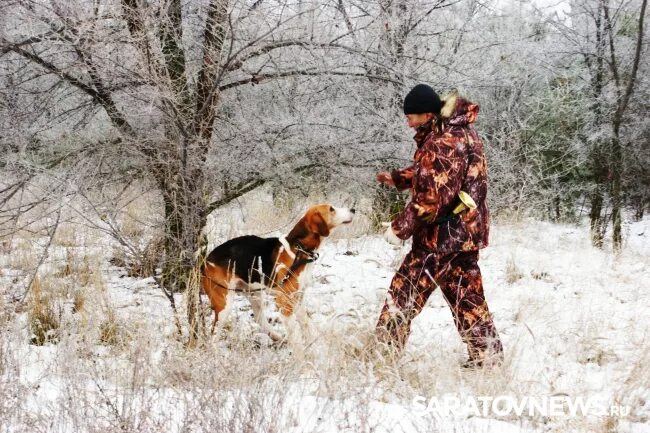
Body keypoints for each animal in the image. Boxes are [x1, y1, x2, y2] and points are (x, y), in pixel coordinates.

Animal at [201, 204, 354, 342]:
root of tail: (206, 261)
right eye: (331, 209)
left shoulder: (298, 298)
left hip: (253, 293)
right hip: (224, 304)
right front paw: (302, 354)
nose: (353, 209)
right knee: (214, 335)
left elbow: (305, 325)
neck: (299, 248)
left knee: (259, 317)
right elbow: (296, 339)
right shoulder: (284, 303)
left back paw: (276, 336)